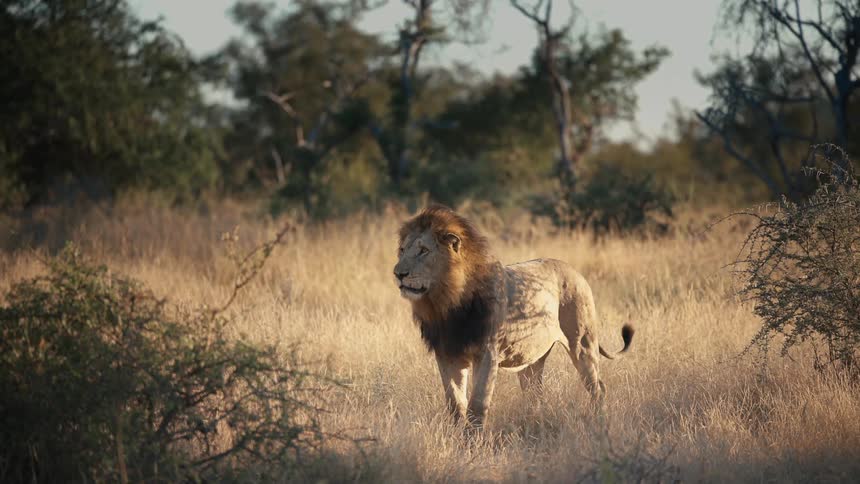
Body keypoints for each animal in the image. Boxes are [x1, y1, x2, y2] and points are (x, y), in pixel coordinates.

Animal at [394, 205, 633, 428]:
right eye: (402, 250)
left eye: (423, 250)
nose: (398, 273)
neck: (447, 303)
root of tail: (576, 272)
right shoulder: (447, 354)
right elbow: (455, 404)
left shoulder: (487, 353)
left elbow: (477, 405)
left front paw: (473, 441)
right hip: (532, 358)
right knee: (535, 395)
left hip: (582, 344)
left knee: (598, 387)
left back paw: (598, 422)